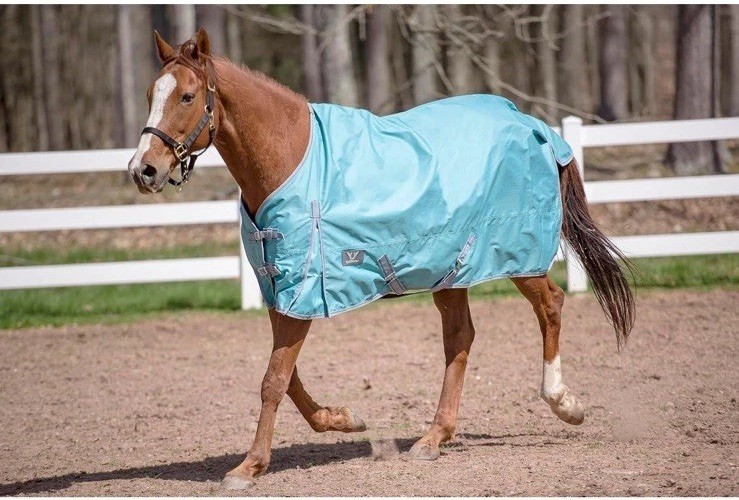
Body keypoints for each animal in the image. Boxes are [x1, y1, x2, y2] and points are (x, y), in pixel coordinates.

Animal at [127, 29, 634, 489]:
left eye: (187, 96)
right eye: (151, 94)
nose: (142, 170)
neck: (290, 160)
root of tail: (534, 125)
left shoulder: (302, 294)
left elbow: (273, 379)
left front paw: (248, 468)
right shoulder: (280, 292)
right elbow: (286, 376)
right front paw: (342, 419)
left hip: (518, 259)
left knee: (550, 305)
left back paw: (564, 404)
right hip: (451, 272)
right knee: (460, 338)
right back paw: (432, 439)